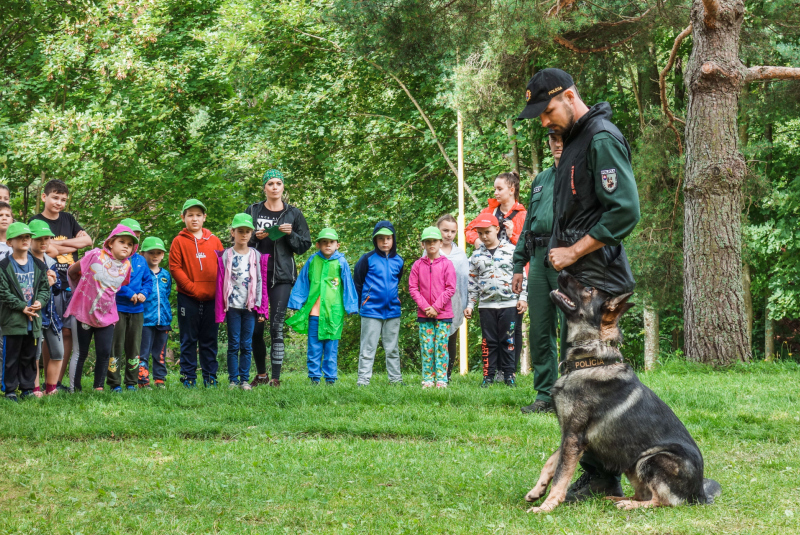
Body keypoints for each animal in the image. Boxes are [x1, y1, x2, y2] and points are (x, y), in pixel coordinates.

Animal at [524, 274, 720, 512]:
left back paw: (629, 505)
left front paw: (547, 506)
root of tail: (700, 495)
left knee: (661, 501)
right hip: (631, 463)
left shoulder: (574, 436)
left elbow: (561, 474)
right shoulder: (569, 435)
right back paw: (614, 498)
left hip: (651, 459)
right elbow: (552, 462)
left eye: (589, 289)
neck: (592, 360)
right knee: (642, 493)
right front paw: (537, 490)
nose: (561, 273)